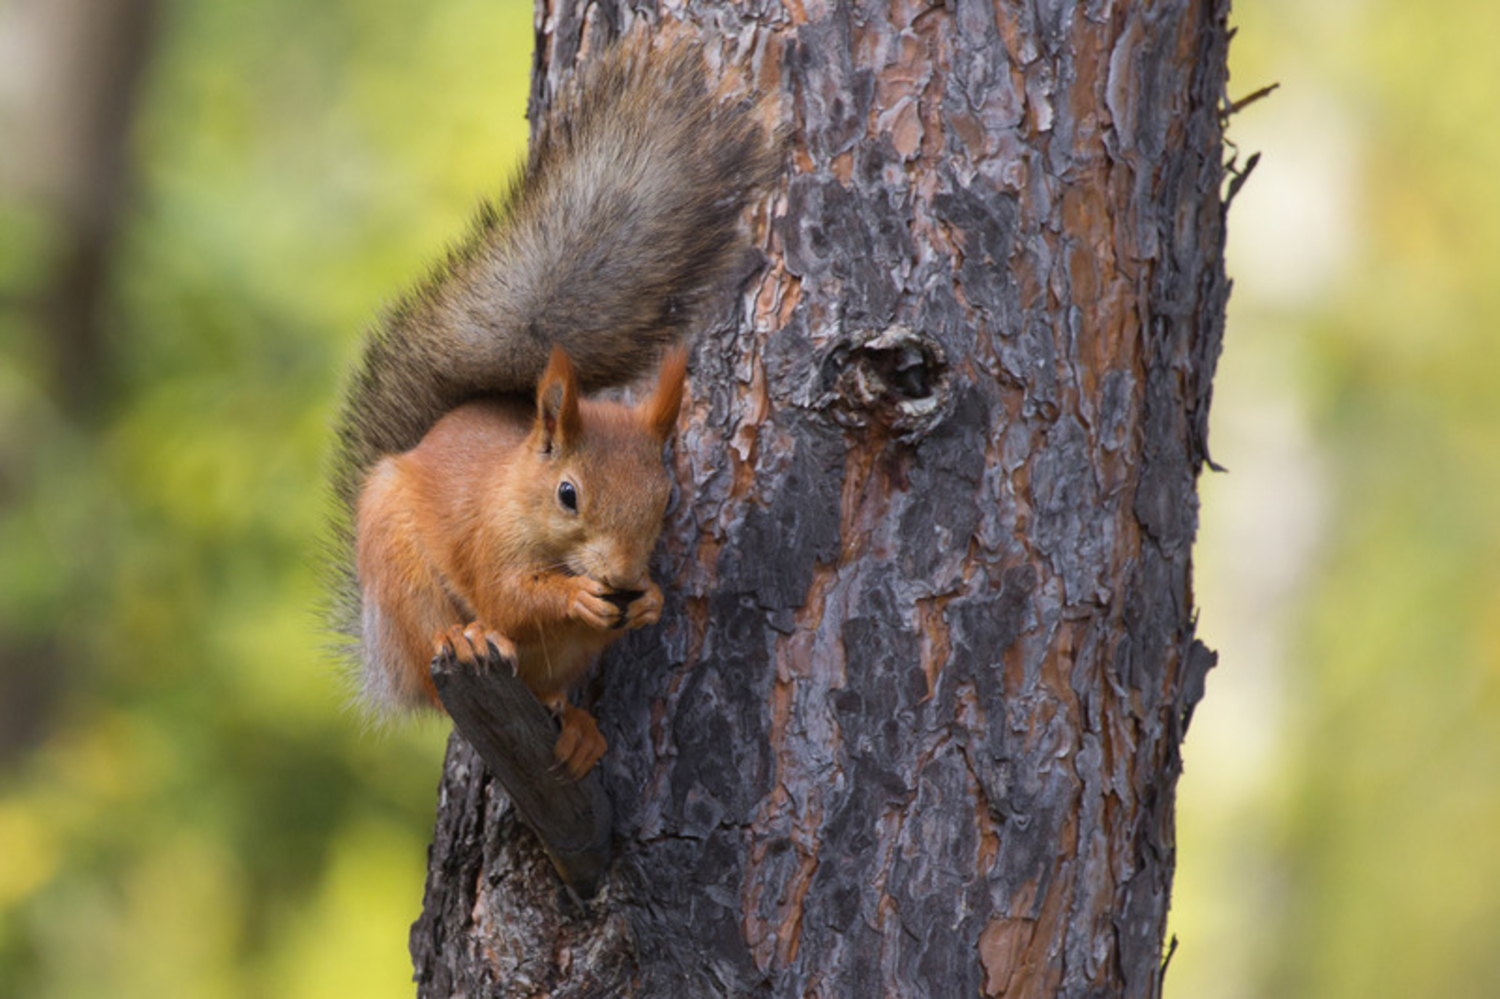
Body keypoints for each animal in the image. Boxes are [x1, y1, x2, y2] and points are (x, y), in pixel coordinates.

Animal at [328, 35, 774, 774]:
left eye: (665, 498)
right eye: (569, 494)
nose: (622, 580)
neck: (518, 485)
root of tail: (382, 660)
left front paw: (649, 600)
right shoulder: (486, 538)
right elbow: (509, 597)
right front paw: (572, 595)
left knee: (550, 693)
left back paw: (578, 726)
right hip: (404, 583)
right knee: (437, 656)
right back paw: (465, 642)